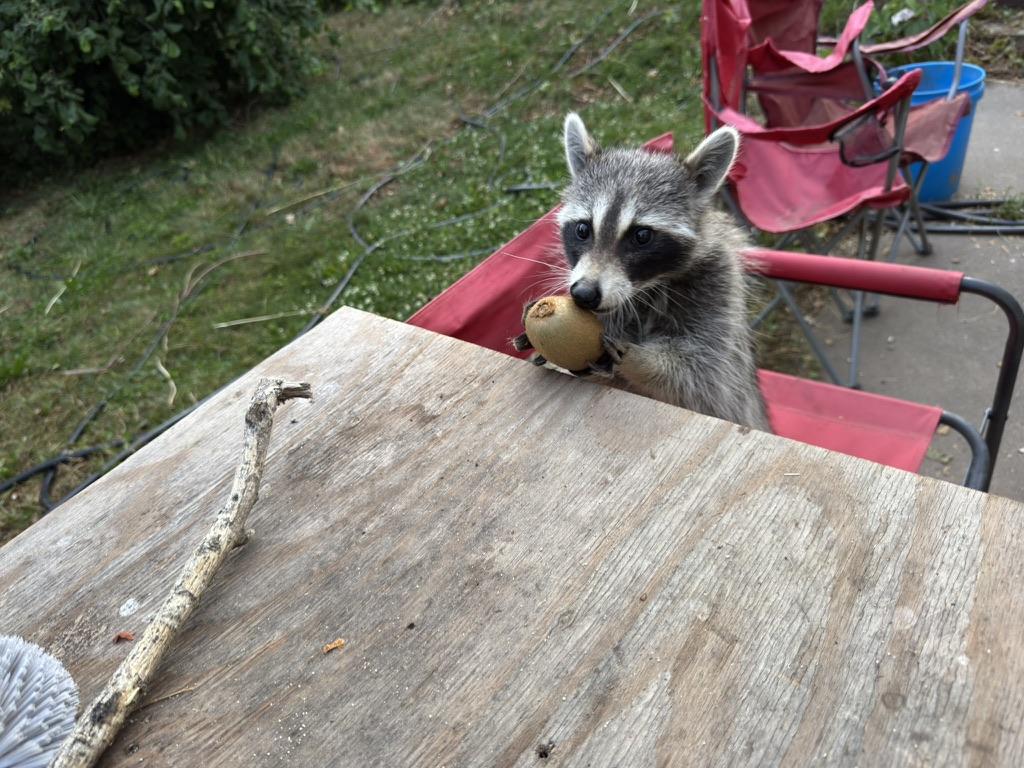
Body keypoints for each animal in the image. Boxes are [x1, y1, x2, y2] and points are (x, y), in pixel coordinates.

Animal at [518, 113, 770, 431]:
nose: (584, 294)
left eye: (641, 236)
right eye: (583, 229)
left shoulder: (718, 287)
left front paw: (641, 360)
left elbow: (702, 378)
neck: (644, 289)